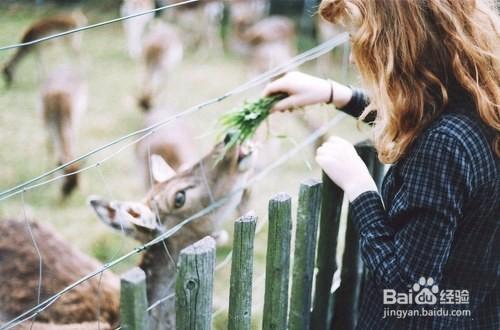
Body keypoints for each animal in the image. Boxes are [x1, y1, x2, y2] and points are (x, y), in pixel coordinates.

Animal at [41, 65, 88, 197]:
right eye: (64, 183)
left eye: (75, 186)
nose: (64, 196)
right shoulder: (45, 121)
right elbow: (49, 147)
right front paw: (48, 183)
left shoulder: (73, 120)